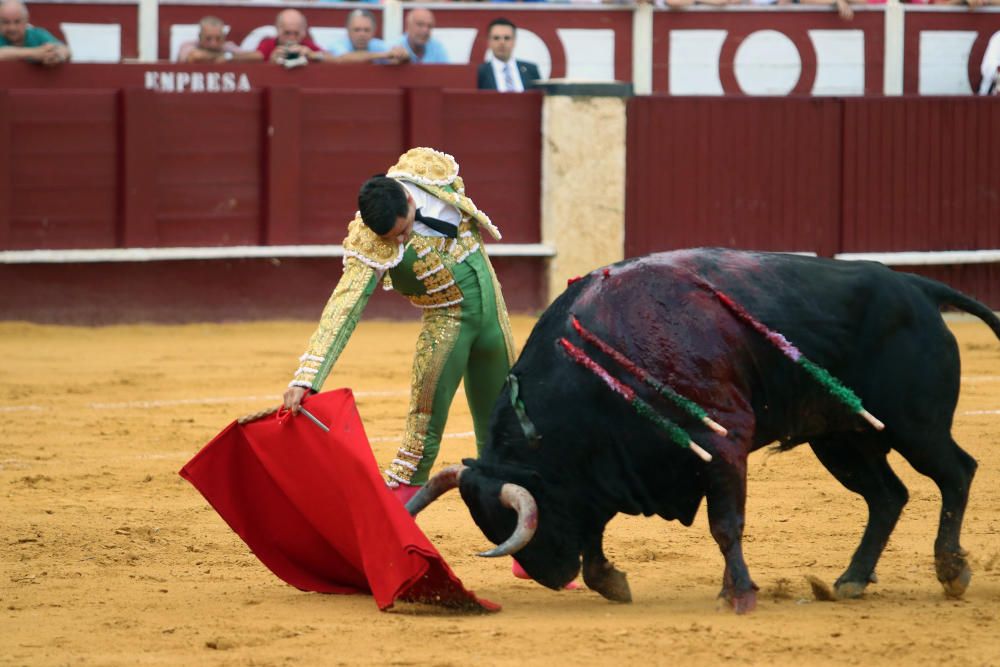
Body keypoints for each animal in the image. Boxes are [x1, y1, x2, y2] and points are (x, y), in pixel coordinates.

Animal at [406, 248, 1000, 612]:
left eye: (523, 520)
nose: (551, 575)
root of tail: (915, 286)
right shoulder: (608, 467)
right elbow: (597, 532)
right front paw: (613, 583)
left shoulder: (723, 442)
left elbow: (725, 525)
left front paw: (738, 595)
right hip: (840, 438)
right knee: (887, 496)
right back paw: (851, 580)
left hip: (915, 425)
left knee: (956, 473)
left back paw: (951, 569)